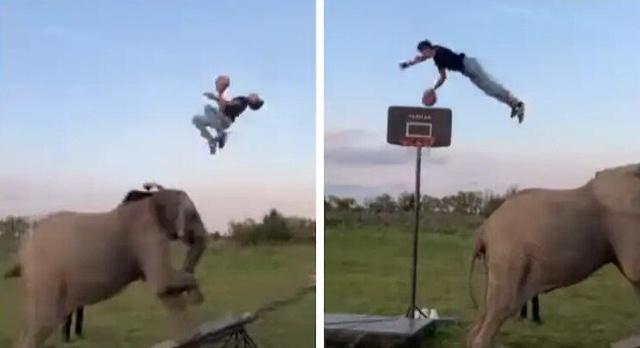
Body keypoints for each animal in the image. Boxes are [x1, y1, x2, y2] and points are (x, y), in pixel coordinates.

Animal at [7, 184, 208, 346]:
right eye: (192, 214)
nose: (194, 297)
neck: (151, 197)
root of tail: (22, 249)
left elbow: (164, 291)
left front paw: (188, 337)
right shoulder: (145, 233)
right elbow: (162, 281)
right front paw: (196, 302)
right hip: (45, 274)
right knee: (45, 322)